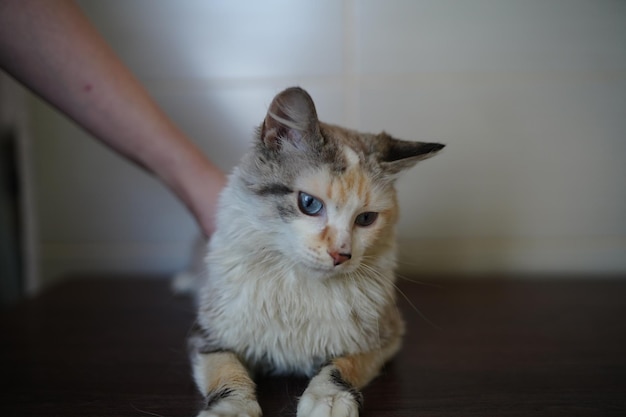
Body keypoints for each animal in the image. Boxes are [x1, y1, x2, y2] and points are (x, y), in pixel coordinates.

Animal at [186, 86, 444, 414]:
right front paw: (232, 409)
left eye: (366, 219)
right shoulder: (209, 336)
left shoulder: (383, 338)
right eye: (309, 204)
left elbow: (342, 365)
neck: (300, 288)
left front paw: (328, 399)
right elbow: (226, 371)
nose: (341, 255)